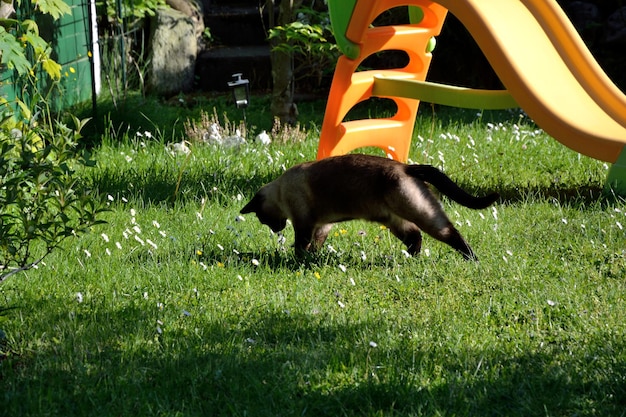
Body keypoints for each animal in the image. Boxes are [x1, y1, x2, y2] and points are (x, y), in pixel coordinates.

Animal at [239, 153, 498, 260]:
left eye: (262, 218)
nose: (276, 229)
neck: (281, 189)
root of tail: (406, 167)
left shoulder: (304, 223)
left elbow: (301, 245)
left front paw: (298, 260)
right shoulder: (322, 224)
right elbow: (316, 243)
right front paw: (312, 258)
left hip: (419, 213)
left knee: (449, 233)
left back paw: (472, 260)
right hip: (394, 220)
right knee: (415, 237)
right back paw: (407, 259)